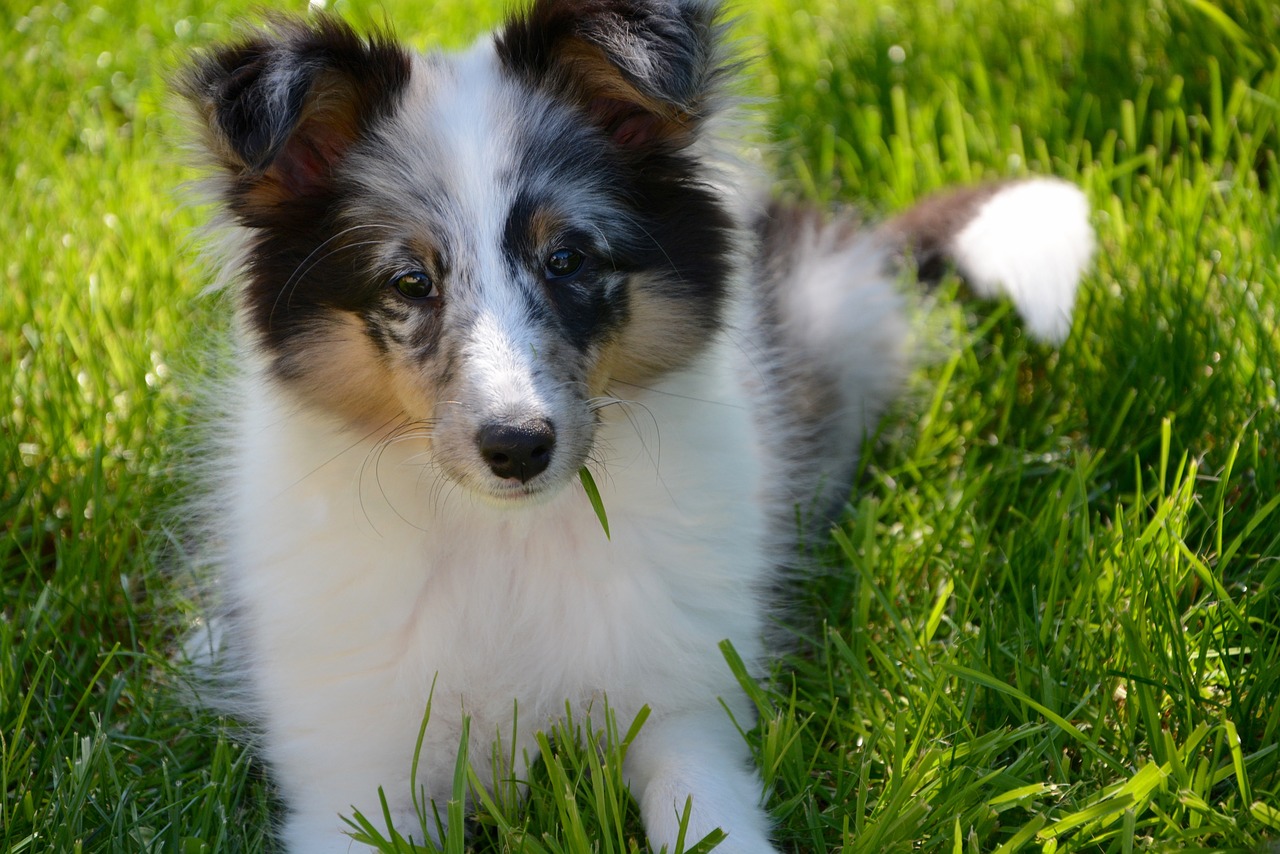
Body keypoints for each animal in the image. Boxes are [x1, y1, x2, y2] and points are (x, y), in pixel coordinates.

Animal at [180, 1, 1095, 854]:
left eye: (569, 260)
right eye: (410, 282)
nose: (517, 447)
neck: (507, 543)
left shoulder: (687, 710)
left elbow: (706, 815)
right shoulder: (357, 774)